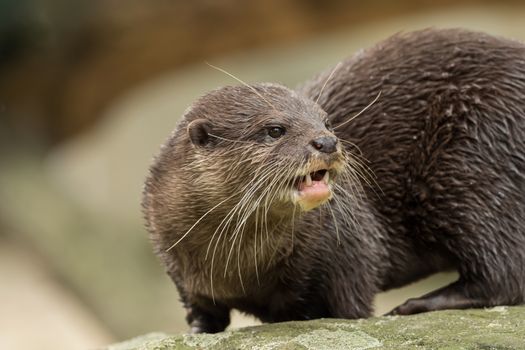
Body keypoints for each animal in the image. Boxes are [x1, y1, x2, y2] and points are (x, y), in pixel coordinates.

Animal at [141, 28, 524, 332]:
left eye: (326, 121)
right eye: (274, 129)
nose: (327, 142)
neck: (237, 267)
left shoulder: (351, 250)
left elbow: (350, 307)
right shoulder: (174, 260)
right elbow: (201, 310)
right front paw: (198, 329)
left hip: (473, 157)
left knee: (503, 270)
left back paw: (417, 304)